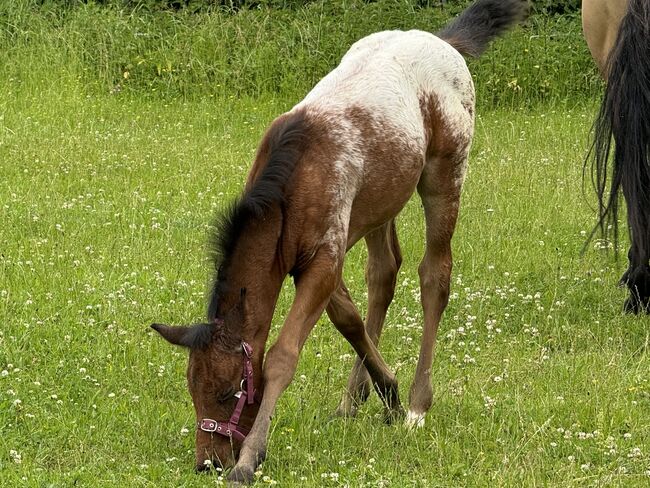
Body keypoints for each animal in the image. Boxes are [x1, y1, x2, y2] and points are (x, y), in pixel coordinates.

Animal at [152, 0, 528, 482]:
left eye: (227, 392)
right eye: (191, 387)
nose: (209, 463)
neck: (291, 186)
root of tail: (444, 41)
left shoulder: (323, 262)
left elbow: (282, 355)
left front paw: (250, 458)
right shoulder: (315, 259)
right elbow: (349, 320)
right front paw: (384, 390)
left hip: (445, 175)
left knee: (435, 275)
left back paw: (418, 406)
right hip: (380, 204)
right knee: (384, 273)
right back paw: (358, 402)